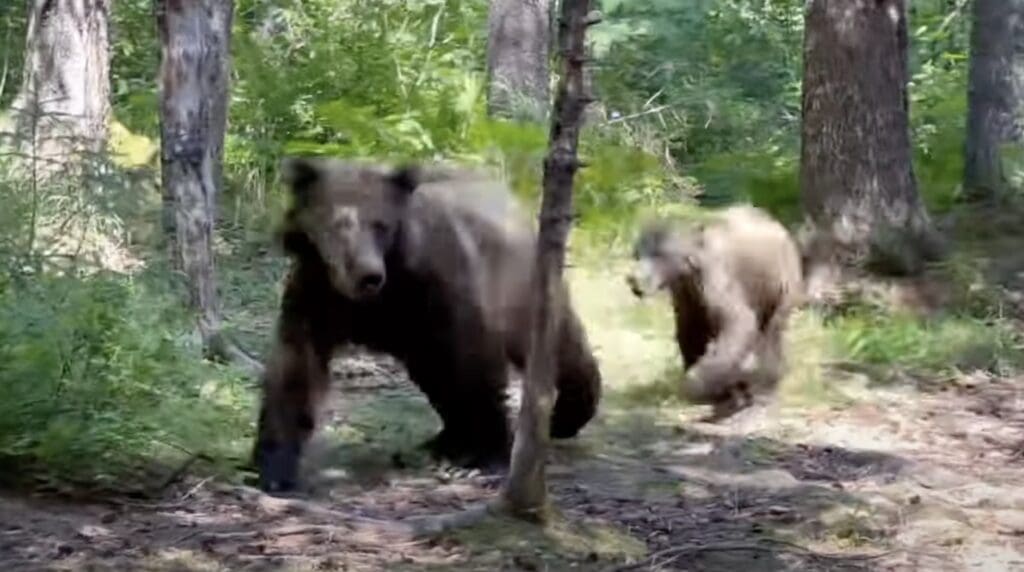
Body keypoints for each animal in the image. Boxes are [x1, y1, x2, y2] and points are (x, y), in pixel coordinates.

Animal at [253, 157, 602, 493]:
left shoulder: (436, 289)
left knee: (557, 343)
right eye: (338, 222)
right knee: (437, 378)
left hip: (516, 286)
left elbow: (475, 365)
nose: (369, 275)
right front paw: (274, 465)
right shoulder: (317, 296)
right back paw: (445, 439)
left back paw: (567, 415)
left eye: (381, 224)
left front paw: (489, 452)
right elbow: (296, 368)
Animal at [625, 205, 803, 420]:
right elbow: (689, 332)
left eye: (660, 253)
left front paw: (697, 383)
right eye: (637, 253)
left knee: (772, 330)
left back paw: (766, 384)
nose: (633, 279)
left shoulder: (716, 280)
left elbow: (737, 323)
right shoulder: (686, 297)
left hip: (781, 281)